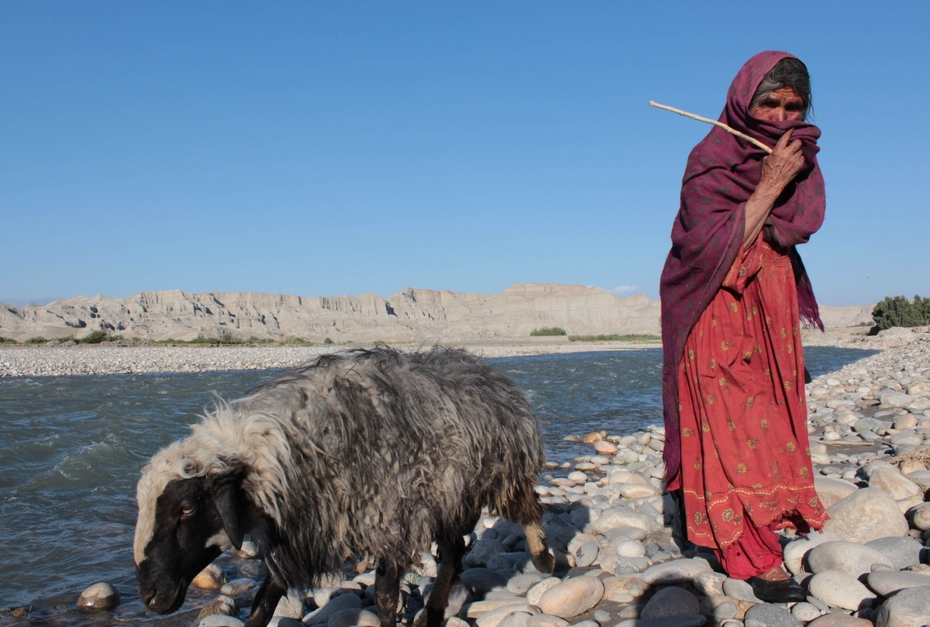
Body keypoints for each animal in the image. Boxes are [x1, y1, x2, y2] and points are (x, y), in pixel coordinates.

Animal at [134, 346, 556, 627]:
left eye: (187, 508)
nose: (151, 597)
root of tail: (487, 370)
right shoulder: (301, 531)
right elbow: (264, 600)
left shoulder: (391, 519)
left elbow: (384, 597)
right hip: (448, 497)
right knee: (453, 554)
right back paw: (434, 612)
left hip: (502, 476)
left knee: (529, 509)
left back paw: (544, 559)